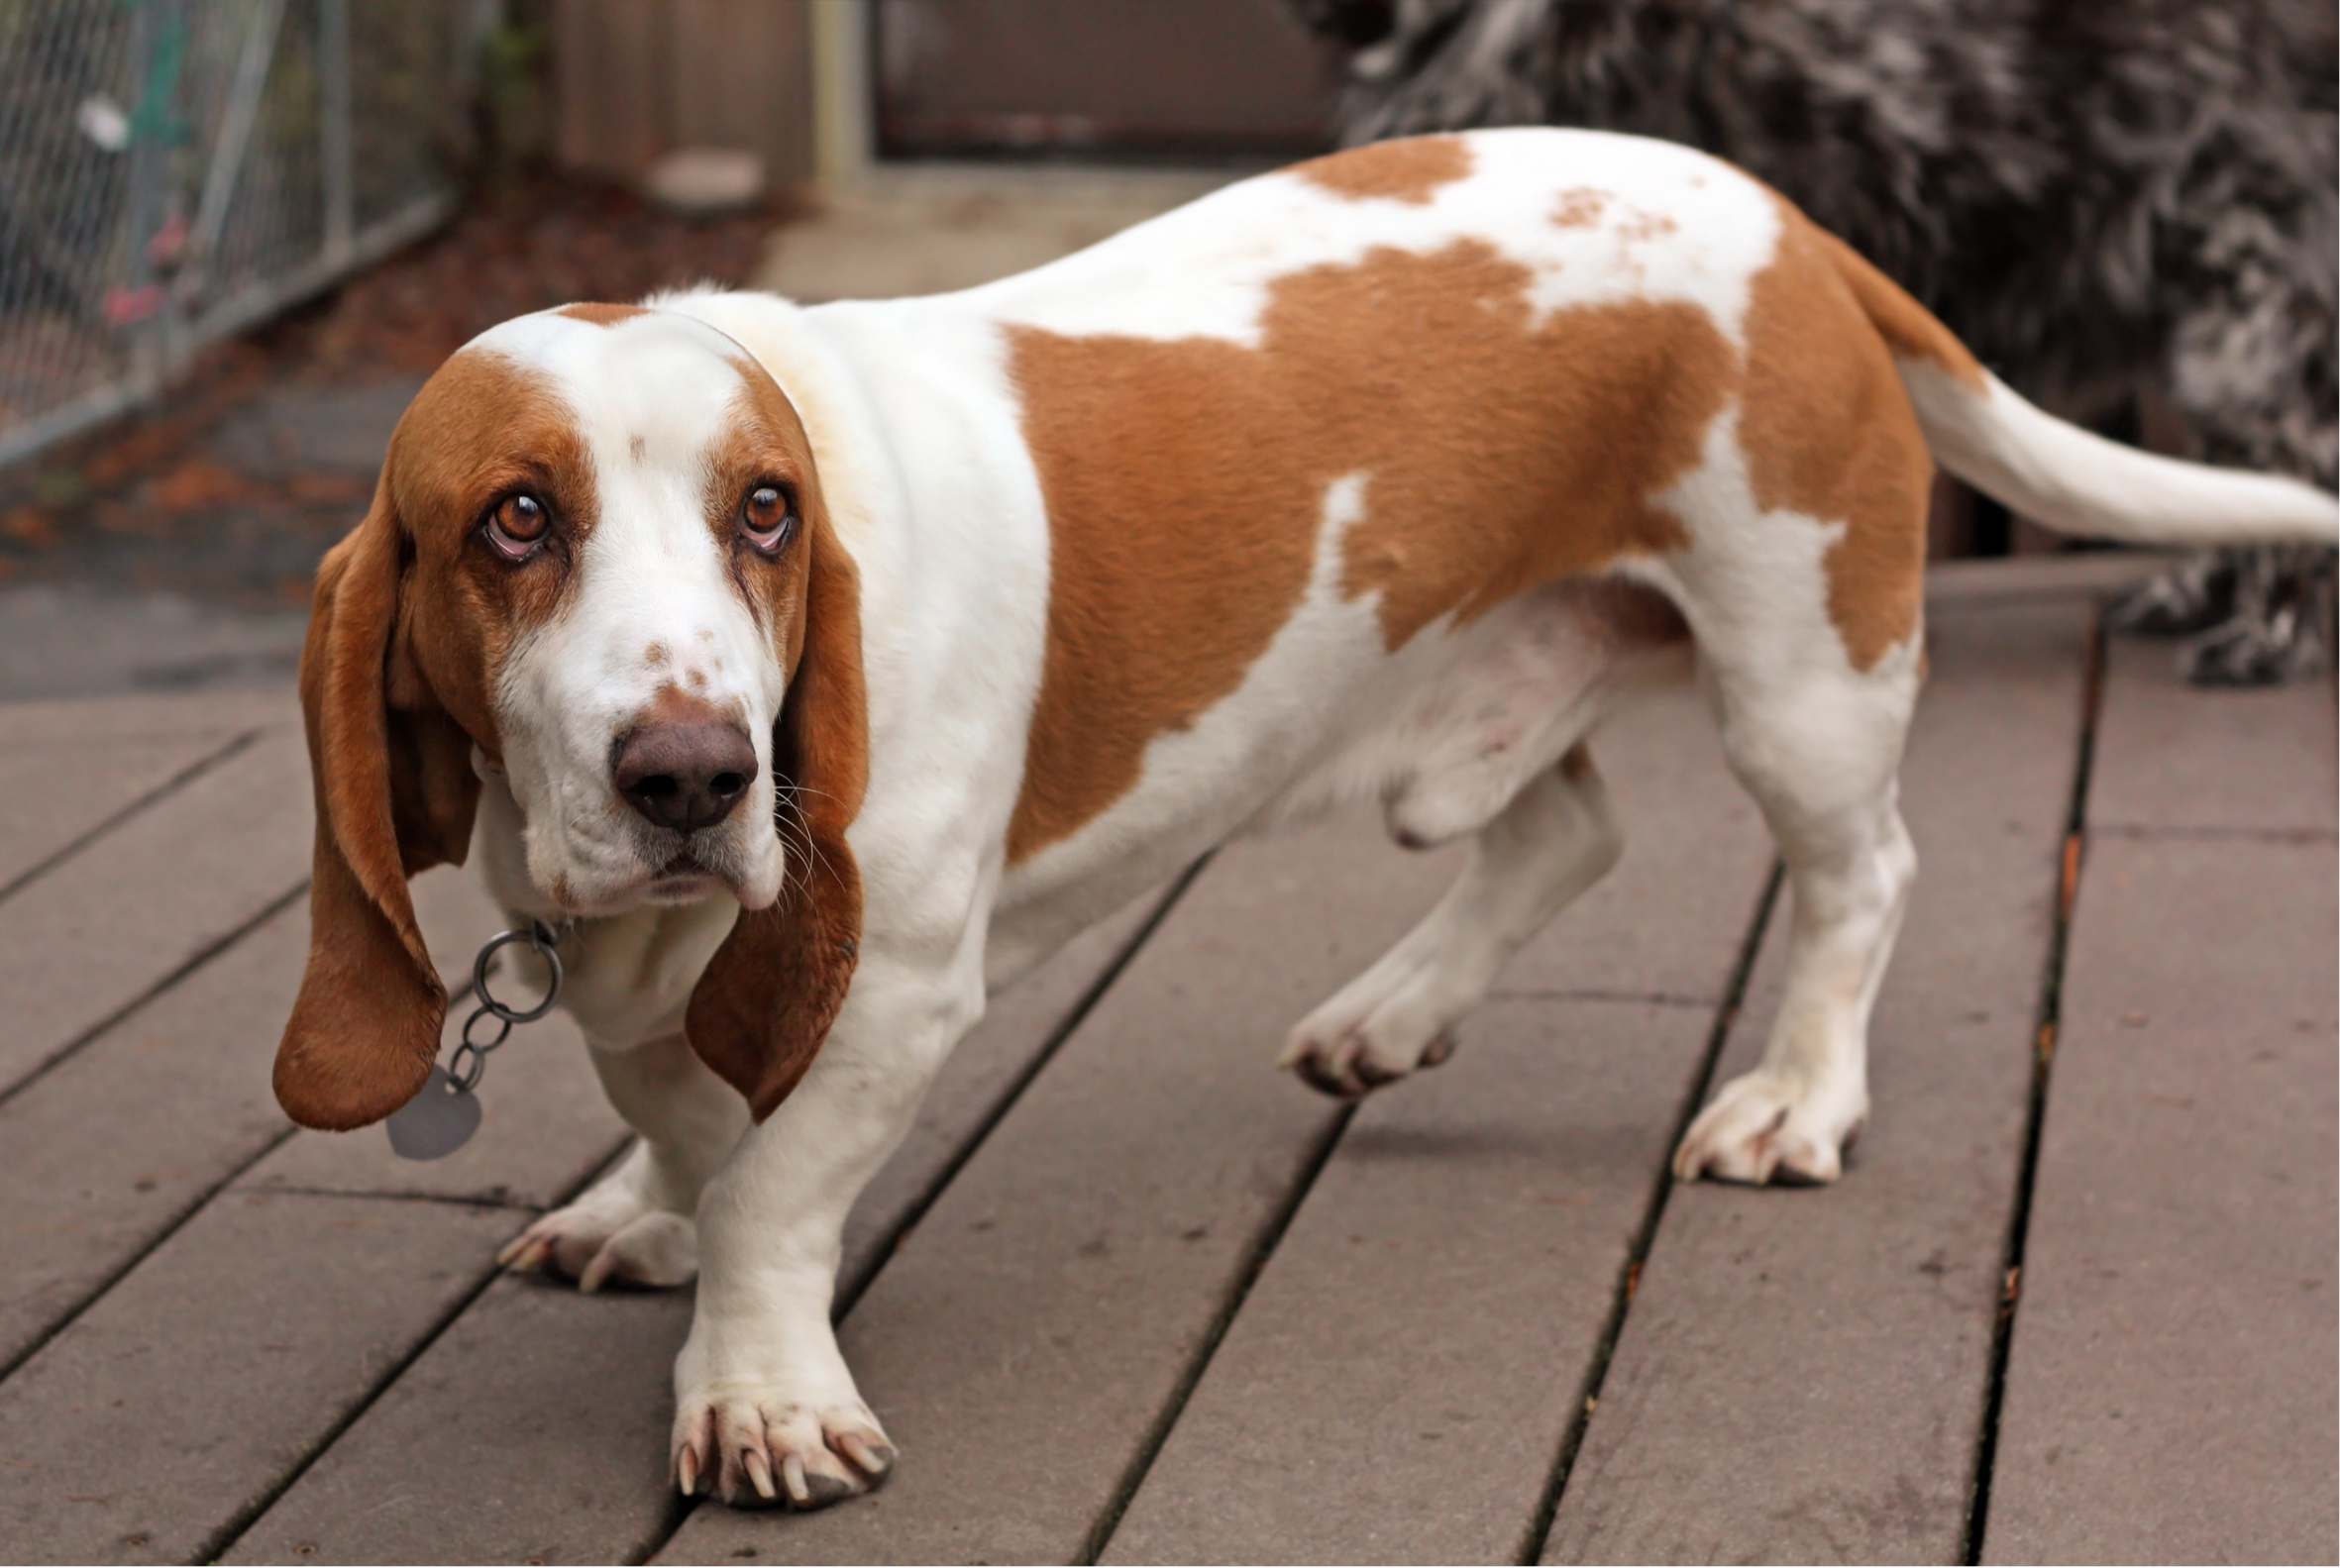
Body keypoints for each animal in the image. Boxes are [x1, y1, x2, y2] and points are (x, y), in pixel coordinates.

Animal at [268, 135, 2321, 1507]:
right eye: (514, 522)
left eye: (762, 512)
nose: (692, 774)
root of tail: (1787, 219)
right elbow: (688, 1112)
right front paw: (646, 1205)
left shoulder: (896, 986)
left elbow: (771, 1181)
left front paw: (757, 1385)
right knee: (1563, 829)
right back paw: (1385, 1018)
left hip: (1801, 673)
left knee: (1858, 877)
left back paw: (1794, 1099)